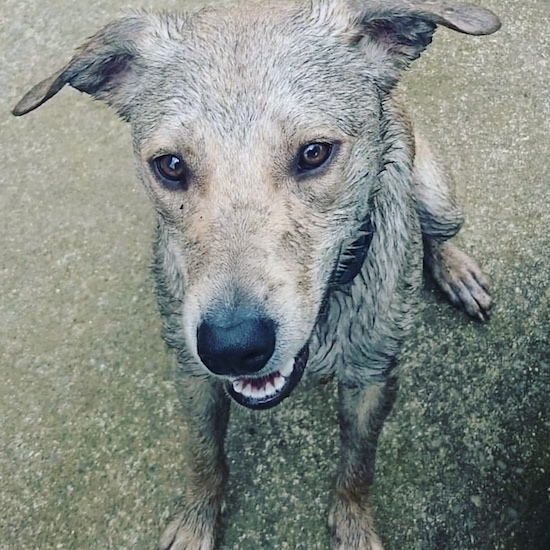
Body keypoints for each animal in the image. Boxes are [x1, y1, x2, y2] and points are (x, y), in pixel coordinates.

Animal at [12, 2, 502, 548]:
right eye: (171, 165)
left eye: (314, 153)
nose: (232, 347)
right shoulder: (193, 374)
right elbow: (204, 455)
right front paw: (197, 518)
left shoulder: (372, 378)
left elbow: (358, 467)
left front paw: (353, 523)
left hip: (439, 200)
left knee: (435, 233)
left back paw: (456, 270)